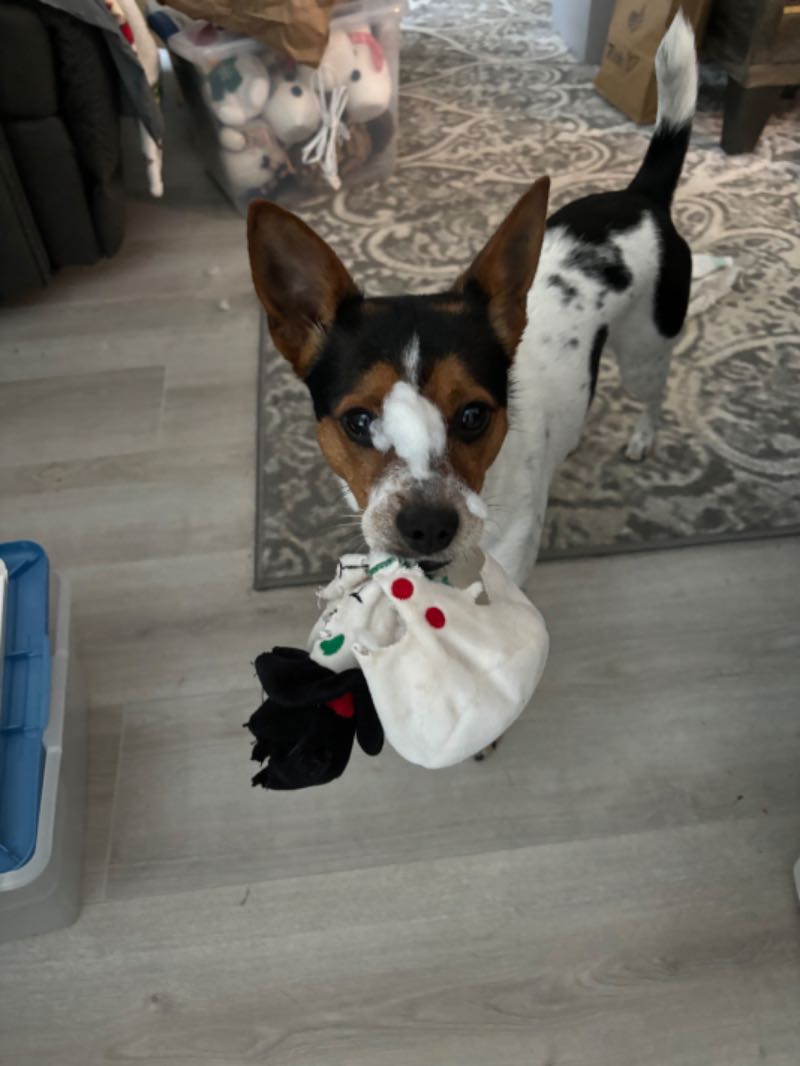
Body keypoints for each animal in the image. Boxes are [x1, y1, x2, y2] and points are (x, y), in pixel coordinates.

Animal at [247, 13, 697, 588]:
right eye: (358, 422)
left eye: (473, 416)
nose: (427, 526)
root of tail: (641, 196)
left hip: (646, 348)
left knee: (654, 395)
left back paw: (644, 437)